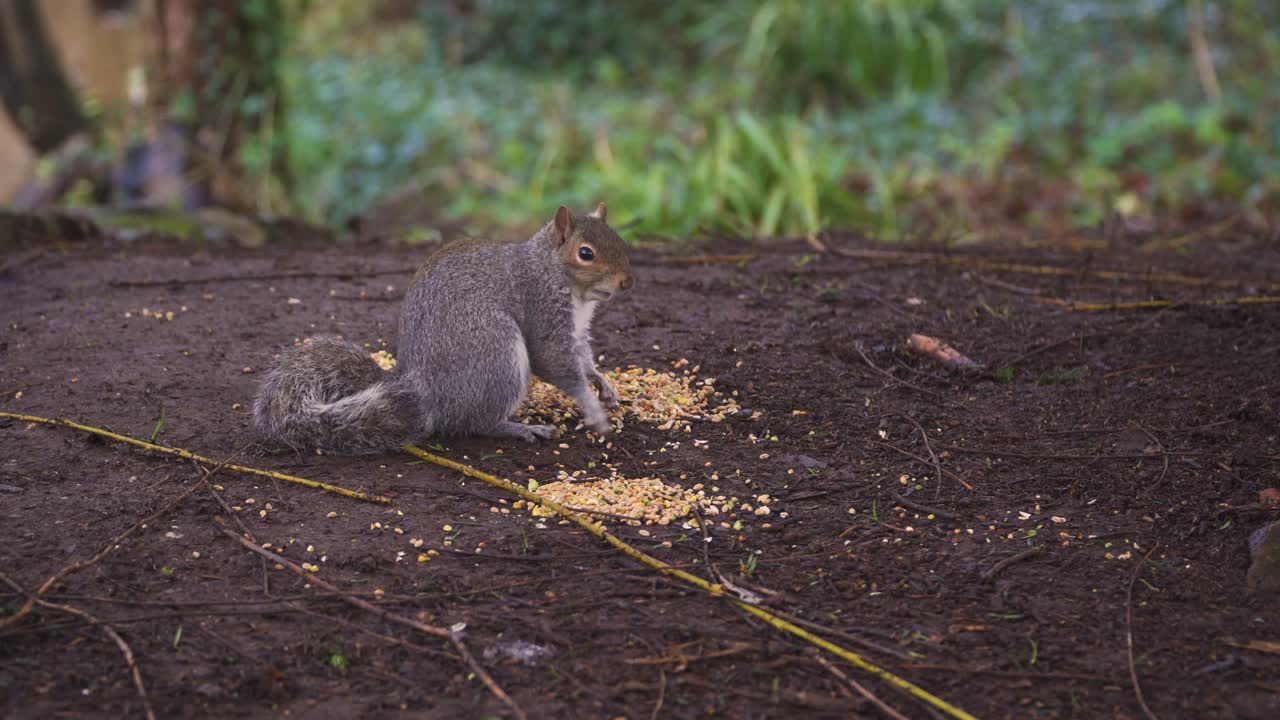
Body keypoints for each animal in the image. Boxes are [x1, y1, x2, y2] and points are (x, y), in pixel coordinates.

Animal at [253, 203, 635, 455]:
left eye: (619, 239)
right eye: (585, 253)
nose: (626, 282)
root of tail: (420, 390)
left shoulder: (578, 329)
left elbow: (583, 358)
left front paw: (603, 385)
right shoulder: (541, 309)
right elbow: (554, 360)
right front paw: (593, 409)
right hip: (495, 352)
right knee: (475, 423)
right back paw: (519, 427)